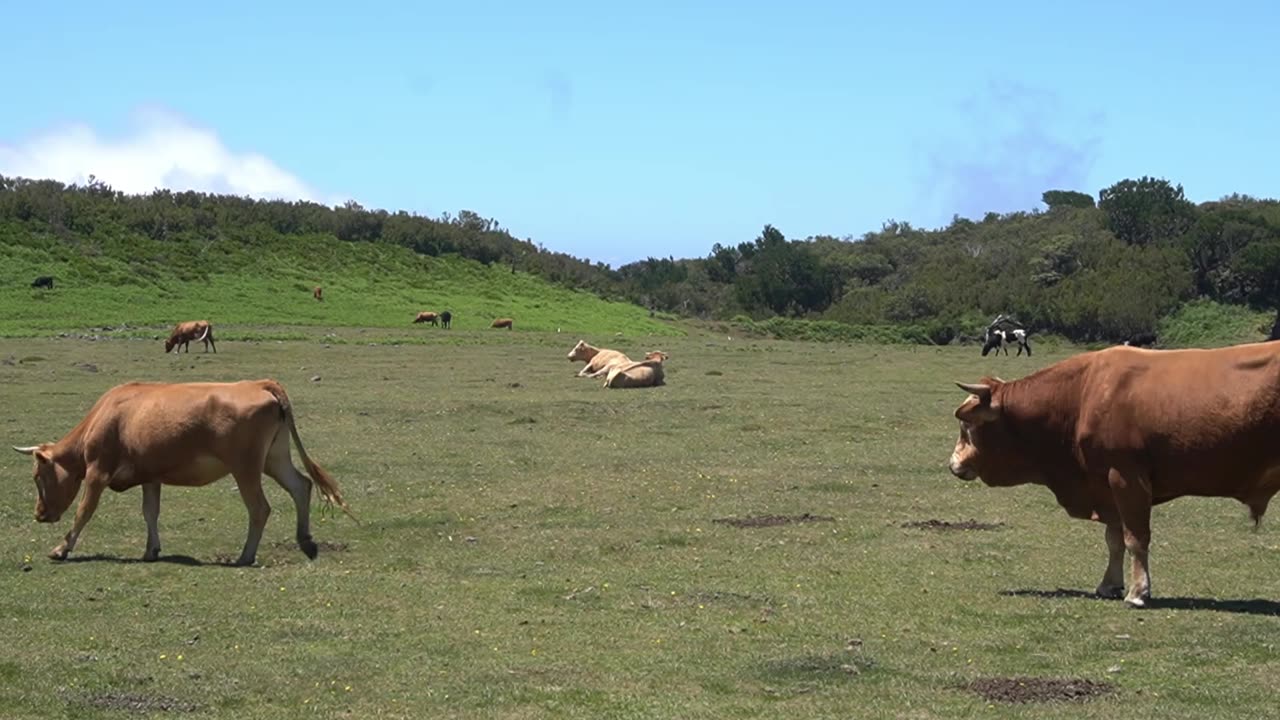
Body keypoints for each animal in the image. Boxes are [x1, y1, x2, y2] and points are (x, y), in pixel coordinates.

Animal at [12, 379, 353, 563]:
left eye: (37, 477)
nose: (39, 514)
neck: (106, 415)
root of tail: (259, 384)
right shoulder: (150, 476)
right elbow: (150, 512)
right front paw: (151, 549)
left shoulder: (98, 472)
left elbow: (84, 511)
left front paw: (61, 549)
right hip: (275, 458)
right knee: (301, 486)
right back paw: (305, 539)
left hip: (246, 467)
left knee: (260, 508)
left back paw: (245, 556)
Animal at [947, 340, 1280, 604]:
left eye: (967, 424)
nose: (953, 464)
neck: (1081, 395)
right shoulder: (1106, 486)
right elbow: (1114, 539)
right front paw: (1110, 584)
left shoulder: (1126, 477)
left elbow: (1135, 537)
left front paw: (1138, 592)